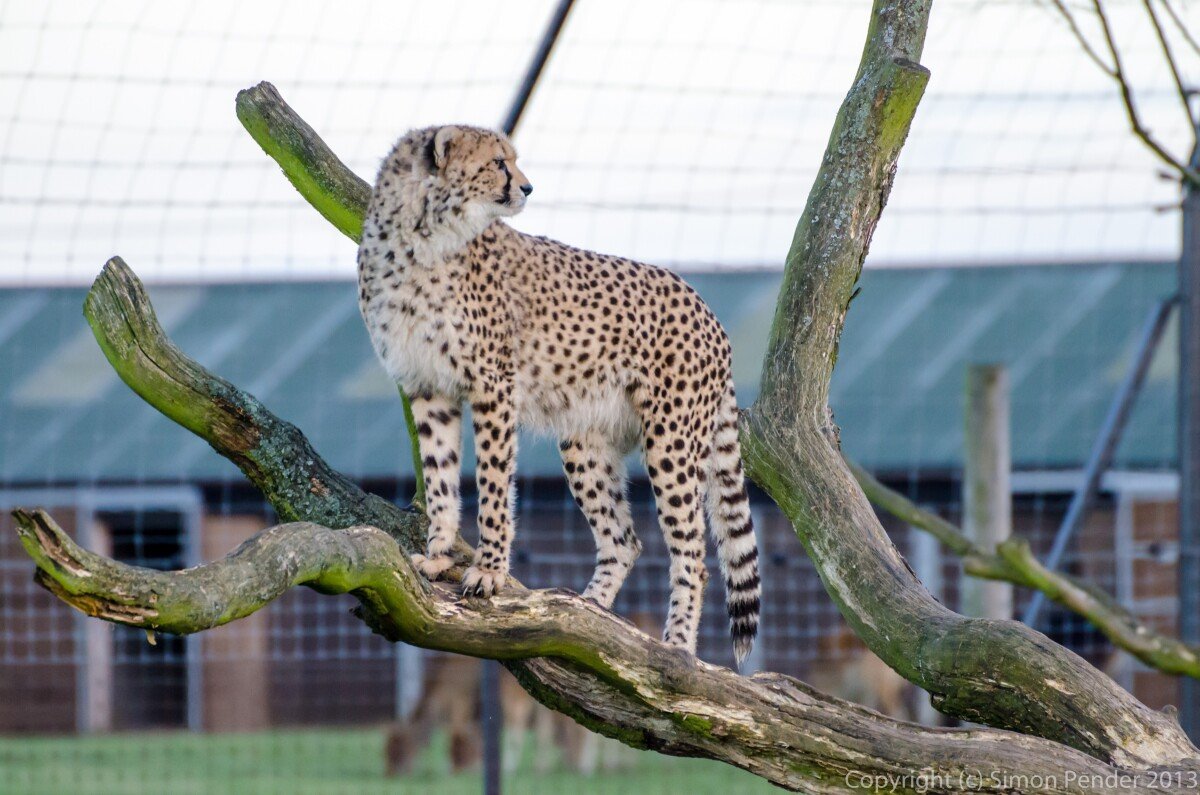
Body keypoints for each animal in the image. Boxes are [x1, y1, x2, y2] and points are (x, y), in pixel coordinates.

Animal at [356, 124, 760, 663]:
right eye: (498, 162)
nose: (528, 188)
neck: (423, 237)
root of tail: (706, 309)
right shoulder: (427, 388)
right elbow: (440, 479)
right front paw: (438, 557)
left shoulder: (493, 386)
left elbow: (492, 485)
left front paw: (488, 571)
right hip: (584, 441)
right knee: (624, 541)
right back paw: (587, 620)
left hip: (671, 443)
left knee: (692, 557)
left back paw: (675, 646)